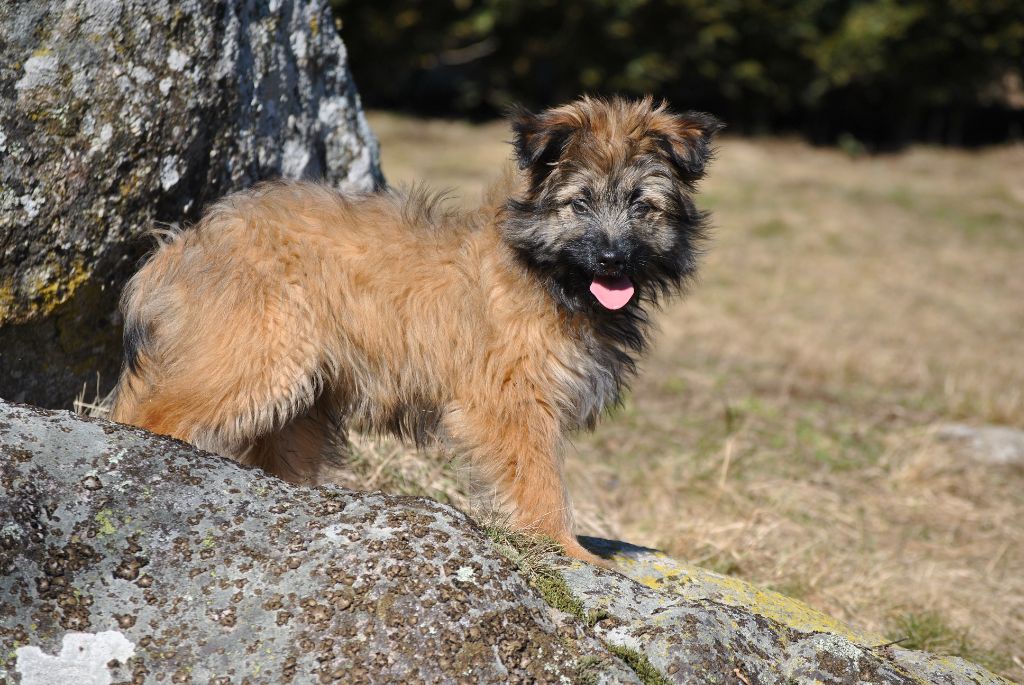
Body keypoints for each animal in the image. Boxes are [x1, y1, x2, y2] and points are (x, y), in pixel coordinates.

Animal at [110, 97, 720, 565]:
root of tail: (181, 244)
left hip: (298, 401)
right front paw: (568, 550)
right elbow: (541, 480)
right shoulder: (511, 403)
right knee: (154, 413)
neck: (543, 271)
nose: (613, 259)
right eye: (580, 203)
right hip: (256, 358)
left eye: (642, 205)